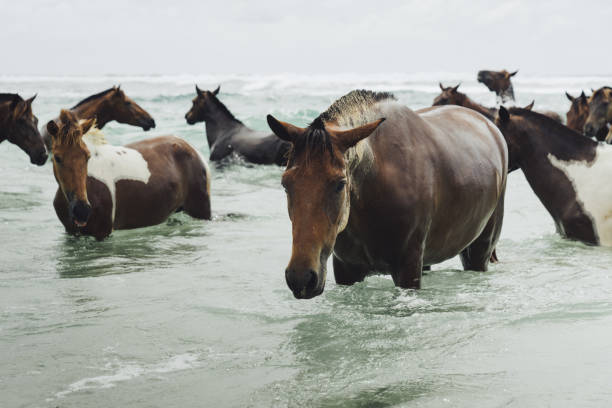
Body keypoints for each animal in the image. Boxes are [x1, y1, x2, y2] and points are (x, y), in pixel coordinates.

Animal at [46, 110, 212, 241]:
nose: (82, 210)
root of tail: (192, 150)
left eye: (87, 157)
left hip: (201, 211)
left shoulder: (102, 233)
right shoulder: (71, 233)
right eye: (57, 158)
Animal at [266, 90, 506, 300]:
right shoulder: (346, 270)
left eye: (340, 184)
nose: (301, 278)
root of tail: (491, 127)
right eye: (286, 184)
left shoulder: (407, 270)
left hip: (479, 251)